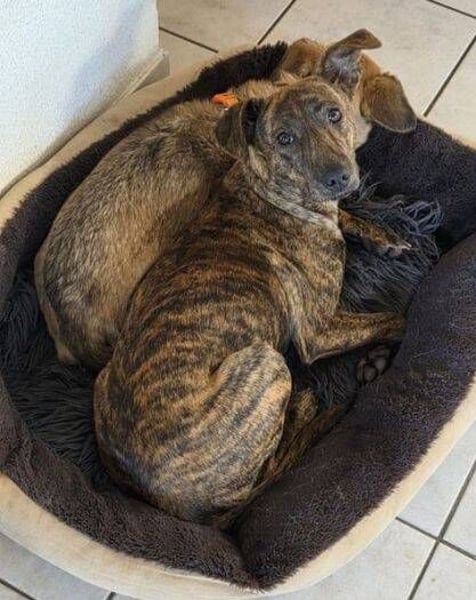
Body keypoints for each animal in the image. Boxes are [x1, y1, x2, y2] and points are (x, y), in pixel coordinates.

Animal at [94, 71, 406, 527]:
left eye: (334, 114)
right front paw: (385, 351)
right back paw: (306, 406)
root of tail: (173, 505)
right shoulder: (321, 332)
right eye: (284, 138)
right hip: (266, 362)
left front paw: (385, 237)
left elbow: (350, 217)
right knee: (271, 468)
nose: (337, 177)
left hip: (104, 378)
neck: (271, 191)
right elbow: (396, 317)